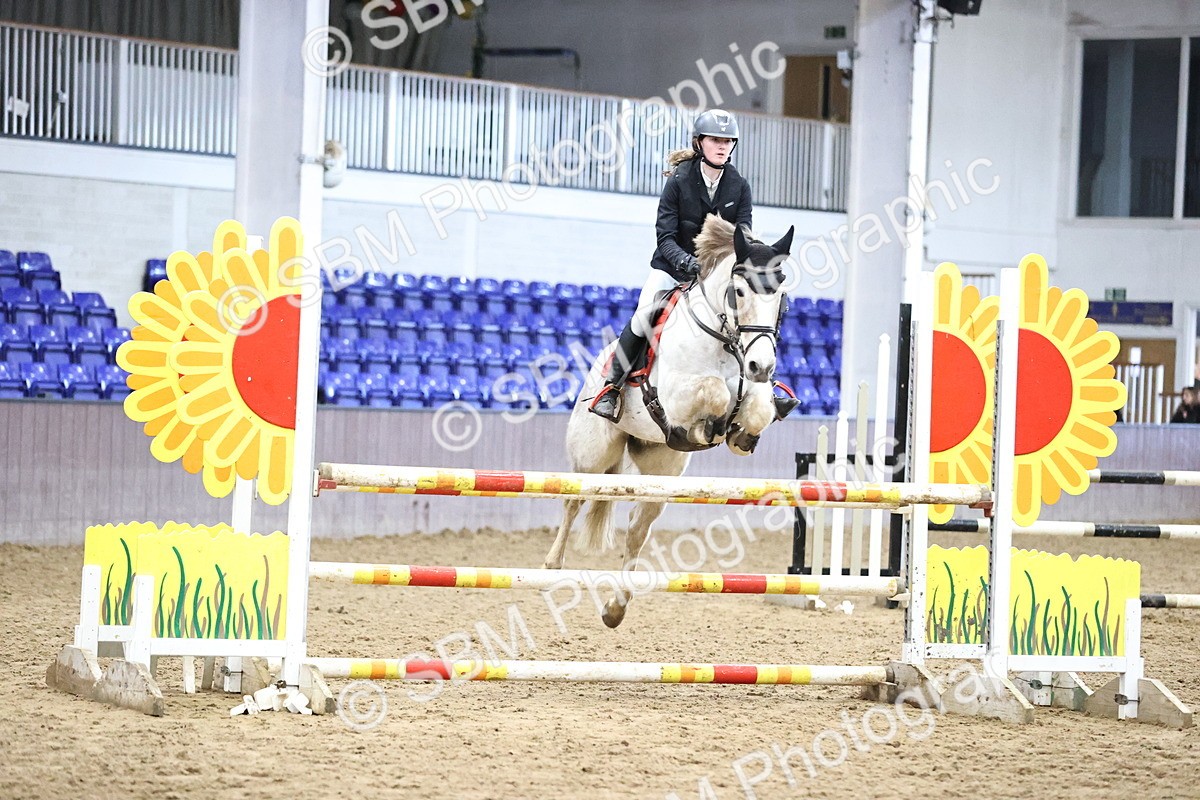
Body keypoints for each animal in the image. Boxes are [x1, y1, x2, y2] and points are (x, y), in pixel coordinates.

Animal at [542, 214, 794, 627]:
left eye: (781, 298)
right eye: (739, 292)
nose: (762, 366)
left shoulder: (753, 392)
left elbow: (757, 409)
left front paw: (737, 435)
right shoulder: (676, 394)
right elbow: (714, 391)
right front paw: (708, 427)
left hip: (661, 473)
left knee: (636, 529)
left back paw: (616, 608)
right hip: (592, 456)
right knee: (574, 502)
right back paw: (552, 568)